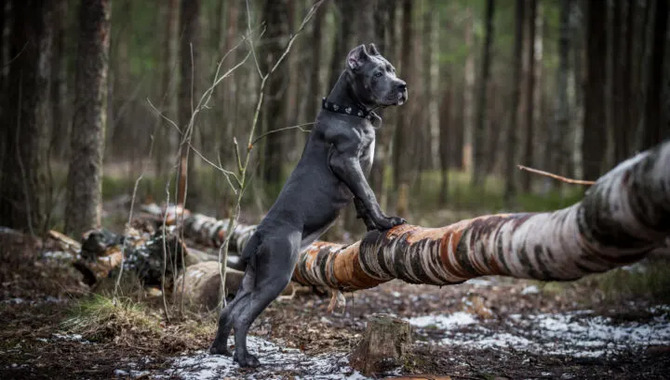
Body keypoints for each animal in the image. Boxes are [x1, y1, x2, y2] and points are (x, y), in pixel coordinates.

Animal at [210, 43, 410, 366]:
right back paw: (244, 358)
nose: (402, 86)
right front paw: (386, 222)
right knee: (243, 316)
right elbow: (368, 194)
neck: (349, 111)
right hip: (276, 275)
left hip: (253, 277)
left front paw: (374, 226)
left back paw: (220, 350)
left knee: (229, 310)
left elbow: (361, 201)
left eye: (391, 69)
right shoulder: (346, 161)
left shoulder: (355, 171)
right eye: (378, 73)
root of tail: (258, 236)